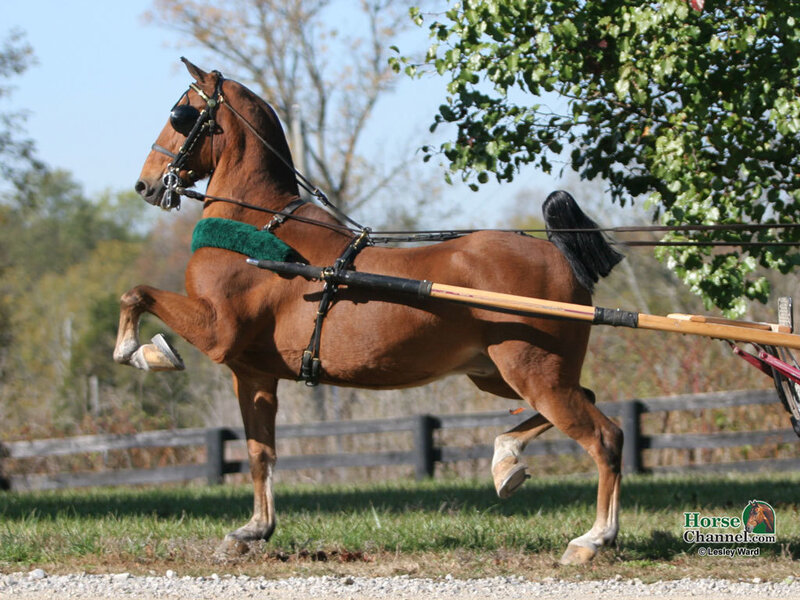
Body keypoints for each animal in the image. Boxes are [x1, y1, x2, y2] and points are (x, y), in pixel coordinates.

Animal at [114, 58, 625, 565]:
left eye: (181, 114)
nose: (145, 182)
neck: (260, 226)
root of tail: (559, 254)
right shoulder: (252, 371)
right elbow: (261, 454)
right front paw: (254, 530)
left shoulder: (217, 332)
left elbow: (136, 295)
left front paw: (143, 352)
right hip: (500, 373)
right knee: (591, 404)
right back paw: (507, 461)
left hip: (534, 374)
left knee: (605, 438)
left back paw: (593, 538)